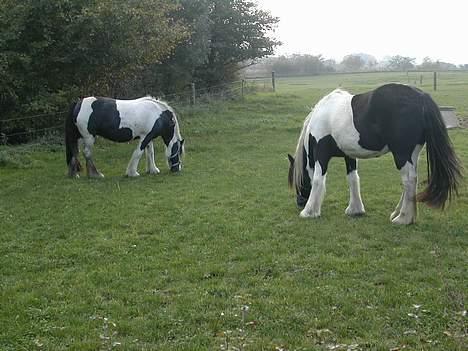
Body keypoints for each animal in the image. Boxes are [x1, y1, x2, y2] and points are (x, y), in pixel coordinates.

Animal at [288, 83, 462, 226]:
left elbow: (318, 179)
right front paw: (355, 209)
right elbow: (353, 179)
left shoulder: (321, 152)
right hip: (412, 153)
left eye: (298, 184)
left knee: (409, 180)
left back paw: (403, 219)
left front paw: (309, 212)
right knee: (412, 180)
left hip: (401, 153)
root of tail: (422, 97)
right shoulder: (349, 155)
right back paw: (401, 214)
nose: (299, 202)